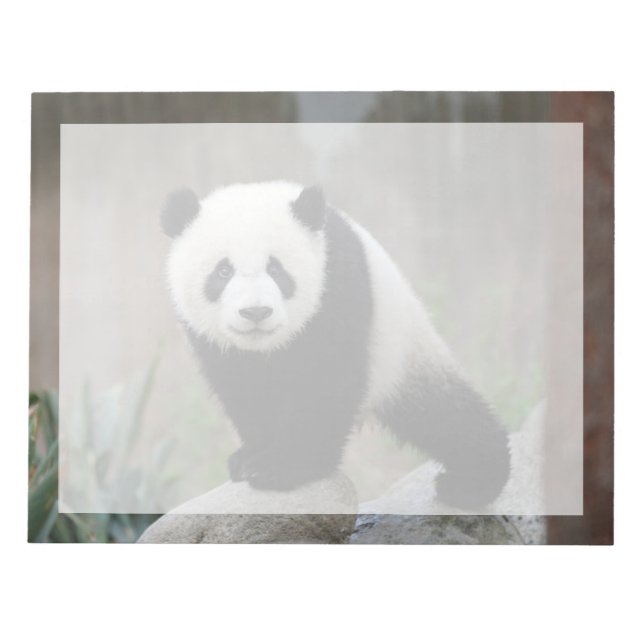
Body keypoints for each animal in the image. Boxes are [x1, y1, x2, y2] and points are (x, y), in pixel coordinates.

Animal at [161, 181, 510, 510]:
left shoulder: (337, 286)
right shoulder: (216, 343)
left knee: (447, 415)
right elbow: (243, 391)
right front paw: (250, 457)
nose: (256, 312)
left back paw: (471, 482)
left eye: (276, 269)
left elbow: (326, 383)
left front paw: (285, 467)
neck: (268, 347)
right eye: (223, 271)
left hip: (402, 351)